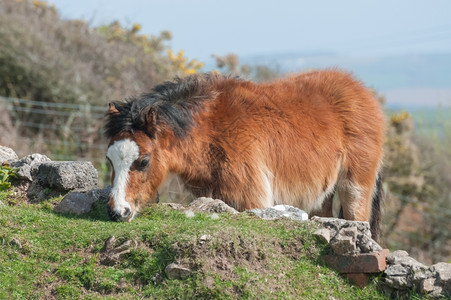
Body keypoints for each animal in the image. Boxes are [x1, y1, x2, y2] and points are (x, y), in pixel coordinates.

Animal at [105, 69, 384, 238]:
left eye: (143, 161)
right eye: (110, 161)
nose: (118, 212)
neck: (211, 132)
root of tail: (361, 92)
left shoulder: (252, 201)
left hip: (354, 191)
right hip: (322, 195)